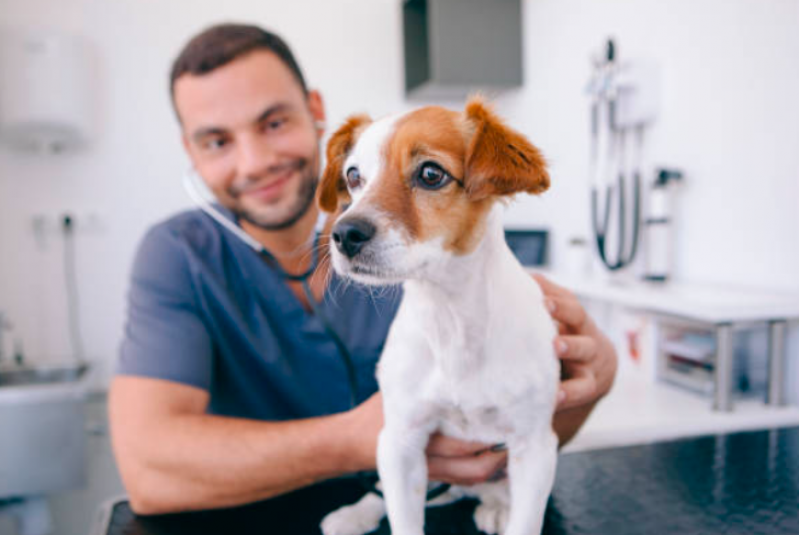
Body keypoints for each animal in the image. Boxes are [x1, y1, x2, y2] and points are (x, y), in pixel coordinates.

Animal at [316, 97, 560, 535]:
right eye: (353, 176)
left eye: (431, 174)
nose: (343, 235)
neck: (449, 315)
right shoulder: (401, 441)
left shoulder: (534, 448)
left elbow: (526, 521)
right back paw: (355, 514)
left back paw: (496, 504)